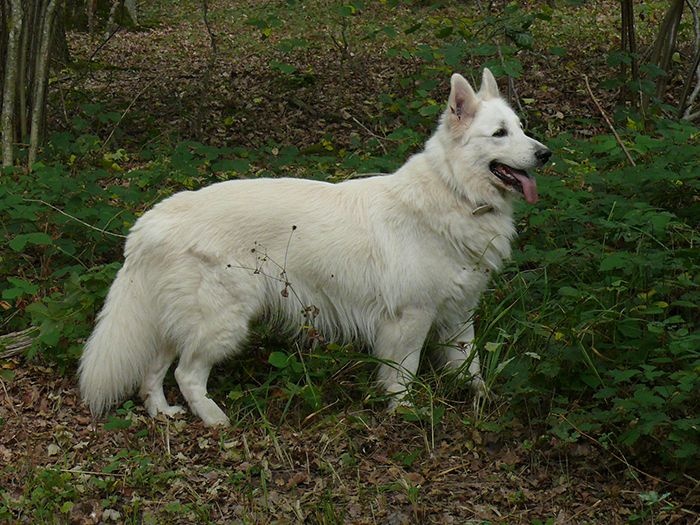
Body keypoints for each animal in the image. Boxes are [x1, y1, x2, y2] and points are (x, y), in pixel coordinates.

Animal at [80, 68, 552, 426]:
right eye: (499, 133)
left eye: (522, 129)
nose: (546, 154)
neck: (454, 193)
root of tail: (150, 221)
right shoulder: (410, 319)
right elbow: (404, 375)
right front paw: (406, 414)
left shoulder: (458, 315)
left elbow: (472, 369)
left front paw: (484, 403)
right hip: (223, 322)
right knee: (187, 373)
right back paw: (214, 419)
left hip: (178, 319)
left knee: (153, 370)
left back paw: (162, 413)